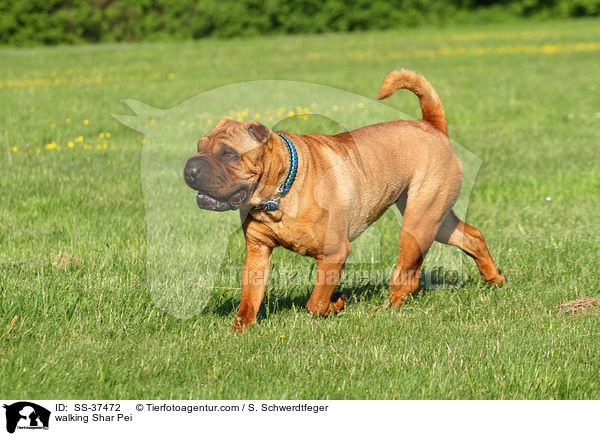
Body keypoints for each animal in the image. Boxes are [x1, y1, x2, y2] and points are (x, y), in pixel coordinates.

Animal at [184, 70, 506, 330]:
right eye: (199, 146)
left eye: (228, 154)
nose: (190, 168)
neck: (277, 195)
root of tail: (432, 126)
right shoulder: (258, 252)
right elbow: (249, 300)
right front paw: (240, 329)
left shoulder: (334, 253)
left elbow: (315, 303)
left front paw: (335, 304)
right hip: (436, 219)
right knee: (472, 237)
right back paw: (495, 281)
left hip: (418, 222)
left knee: (407, 276)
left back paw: (385, 309)